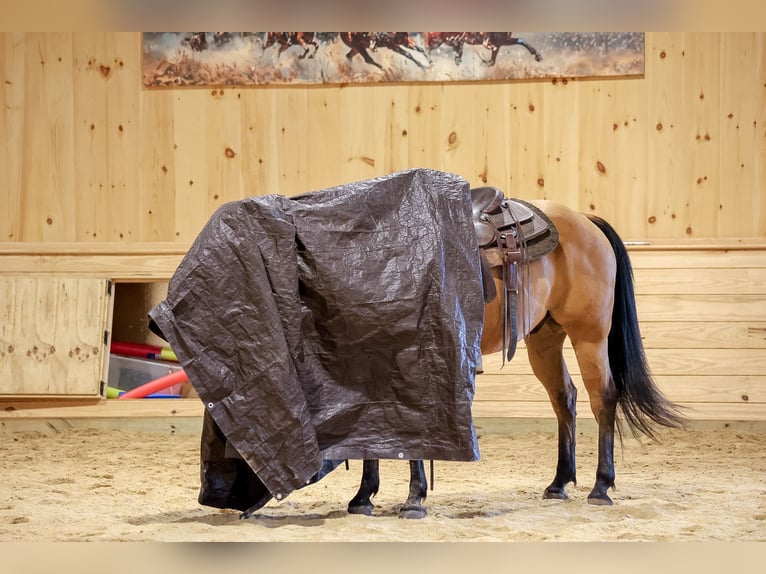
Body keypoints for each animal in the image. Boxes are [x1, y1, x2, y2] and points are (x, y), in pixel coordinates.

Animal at [341, 194, 685, 519]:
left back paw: (601, 486)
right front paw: (363, 496)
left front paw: (414, 499)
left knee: (603, 396)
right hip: (545, 340)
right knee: (564, 398)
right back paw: (559, 483)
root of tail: (586, 221)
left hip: (590, 336)